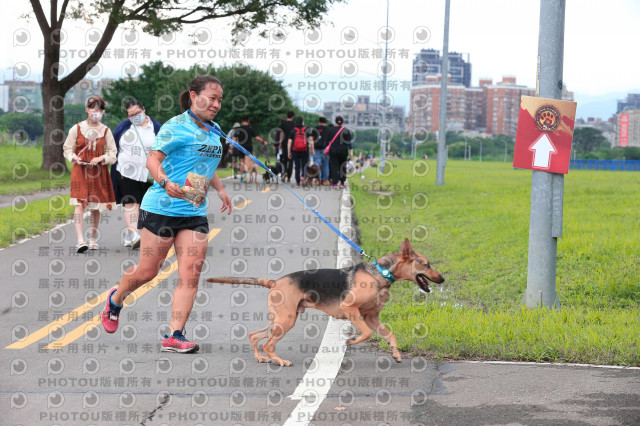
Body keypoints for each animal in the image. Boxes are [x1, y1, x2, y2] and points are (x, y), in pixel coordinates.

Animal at [208, 240, 442, 366]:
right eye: (426, 265)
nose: (442, 279)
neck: (381, 273)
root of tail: (274, 281)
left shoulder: (371, 317)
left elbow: (390, 334)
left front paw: (395, 353)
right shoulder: (352, 310)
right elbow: (366, 334)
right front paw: (350, 342)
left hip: (280, 319)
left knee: (254, 335)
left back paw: (262, 358)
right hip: (286, 320)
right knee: (267, 343)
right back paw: (279, 360)